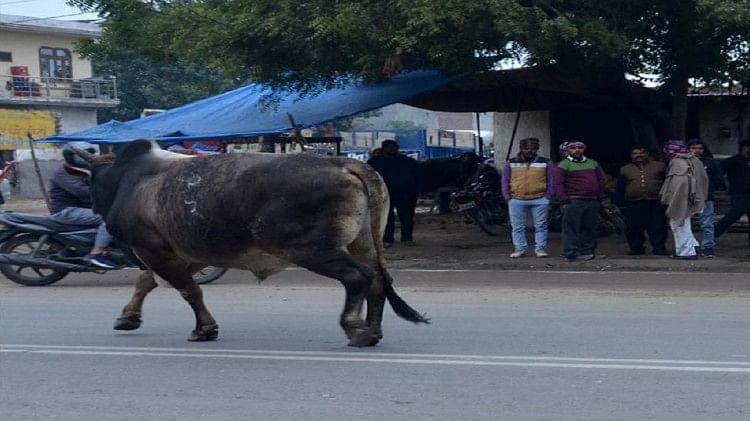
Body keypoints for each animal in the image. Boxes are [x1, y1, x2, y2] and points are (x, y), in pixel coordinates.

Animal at [73, 139, 432, 346]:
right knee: (377, 282)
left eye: (89, 182)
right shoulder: (184, 253)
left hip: (313, 249)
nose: (93, 208)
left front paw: (204, 329)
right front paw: (128, 317)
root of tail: (345, 161)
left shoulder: (153, 249)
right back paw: (373, 329)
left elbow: (188, 290)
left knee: (359, 277)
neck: (129, 179)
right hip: (362, 244)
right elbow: (146, 282)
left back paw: (356, 329)